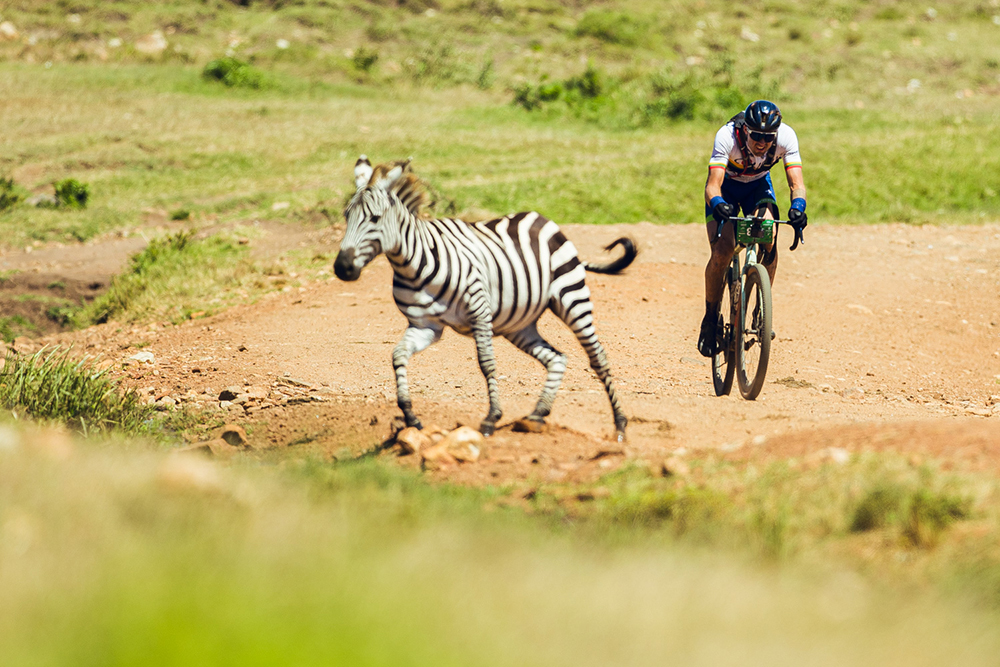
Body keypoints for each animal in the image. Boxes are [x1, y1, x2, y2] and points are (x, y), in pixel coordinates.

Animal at [334, 156, 637, 442]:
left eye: (374, 218)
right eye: (347, 217)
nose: (342, 268)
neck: (413, 266)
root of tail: (541, 218)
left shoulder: (479, 312)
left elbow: (486, 363)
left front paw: (492, 417)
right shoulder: (425, 326)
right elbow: (398, 355)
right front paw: (410, 415)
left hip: (572, 299)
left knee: (598, 357)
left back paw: (620, 424)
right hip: (519, 324)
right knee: (557, 358)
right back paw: (537, 415)